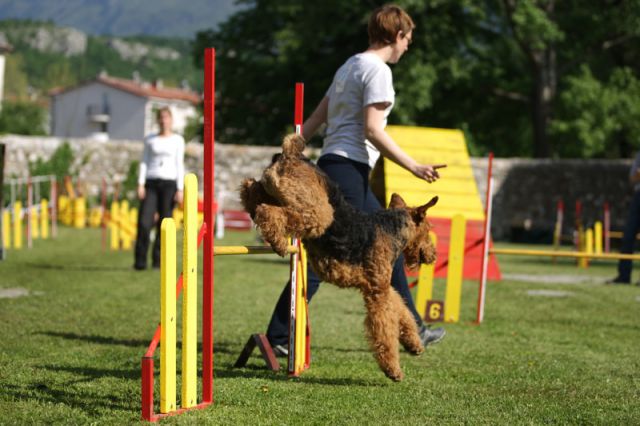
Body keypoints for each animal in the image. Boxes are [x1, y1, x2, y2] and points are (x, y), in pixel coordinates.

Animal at [241, 135, 440, 382]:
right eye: (428, 229)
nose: (433, 255)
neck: (389, 228)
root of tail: (291, 154)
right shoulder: (377, 292)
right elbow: (385, 328)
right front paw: (393, 369)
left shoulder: (382, 288)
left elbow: (402, 310)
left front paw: (414, 345)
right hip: (317, 214)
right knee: (268, 211)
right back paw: (278, 242)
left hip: (278, 192)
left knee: (251, 189)